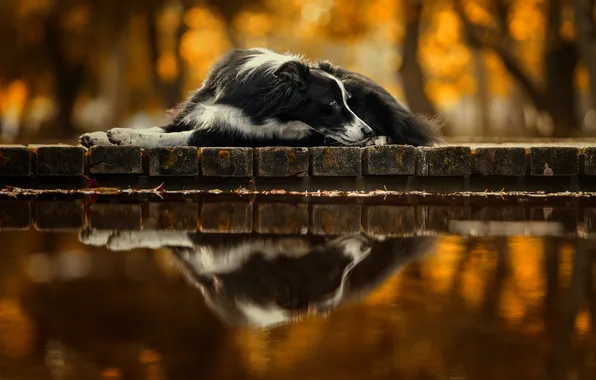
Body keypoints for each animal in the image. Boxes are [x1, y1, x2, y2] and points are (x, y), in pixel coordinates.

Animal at [79, 47, 440, 148]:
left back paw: (378, 139)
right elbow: (155, 130)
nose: (365, 130)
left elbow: (172, 138)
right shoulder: (199, 111)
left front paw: (119, 137)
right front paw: (103, 135)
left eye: (347, 102)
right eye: (334, 105)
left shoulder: (227, 135)